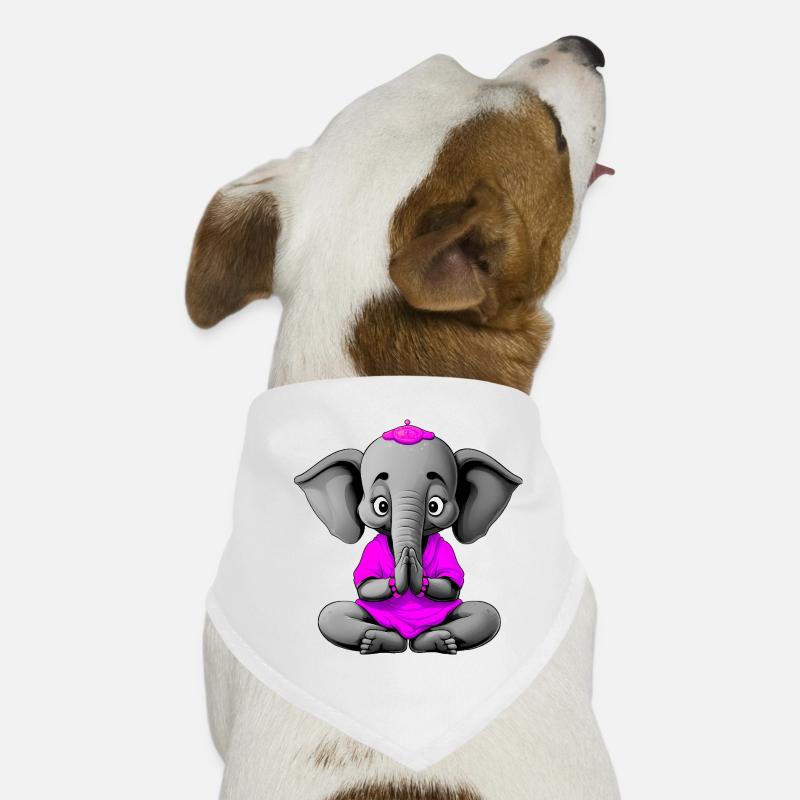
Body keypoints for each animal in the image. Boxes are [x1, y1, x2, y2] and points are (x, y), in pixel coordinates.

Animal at [294, 420, 522, 654]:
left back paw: (436, 640)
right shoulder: (369, 551)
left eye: (435, 506)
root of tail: (408, 637)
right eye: (381, 506)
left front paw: (413, 567)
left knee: (485, 613)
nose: (408, 553)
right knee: (332, 614)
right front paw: (404, 566)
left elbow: (451, 587)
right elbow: (365, 587)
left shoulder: (447, 550)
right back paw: (379, 641)